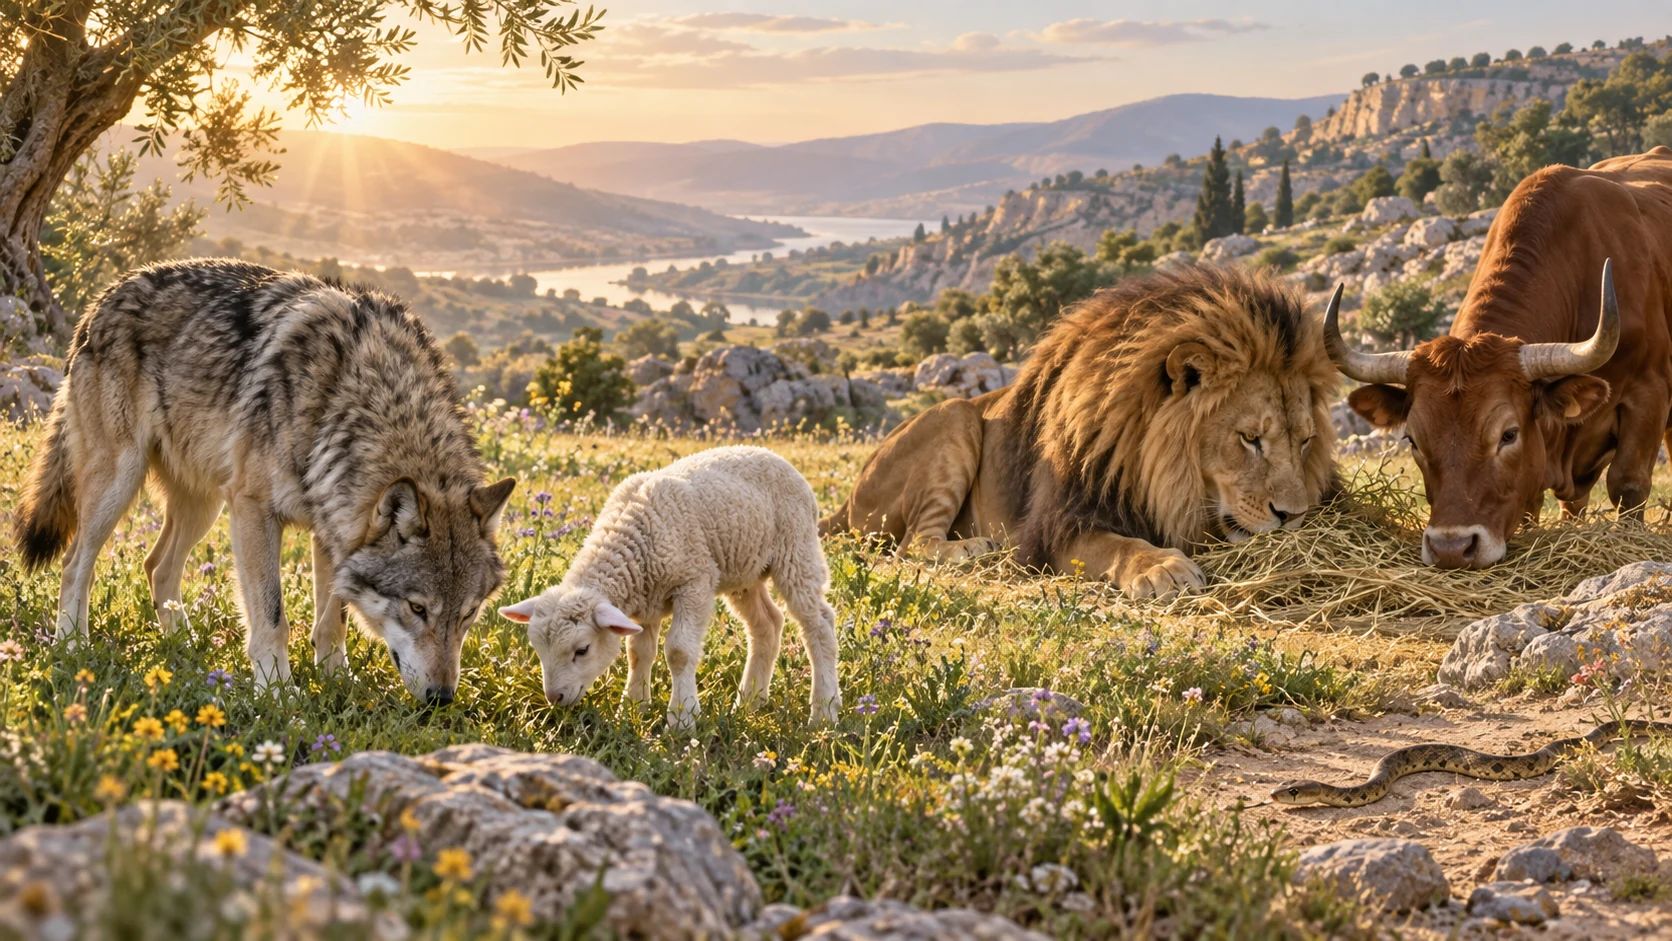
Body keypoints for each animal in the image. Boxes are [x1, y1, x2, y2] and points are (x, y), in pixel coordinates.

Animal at [12, 259, 515, 702]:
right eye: (417, 608)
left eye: (469, 614)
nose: (442, 698)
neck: (355, 397)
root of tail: (103, 298)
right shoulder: (255, 509)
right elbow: (273, 618)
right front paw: (277, 692)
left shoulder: (331, 526)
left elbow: (333, 619)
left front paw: (336, 680)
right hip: (121, 483)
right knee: (75, 563)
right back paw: (73, 646)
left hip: (204, 506)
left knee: (157, 566)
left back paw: (186, 648)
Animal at [499, 446, 841, 730]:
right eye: (538, 649)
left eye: (582, 650)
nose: (554, 698)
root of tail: (775, 455)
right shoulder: (645, 599)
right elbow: (638, 653)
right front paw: (633, 708)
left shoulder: (694, 581)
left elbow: (678, 652)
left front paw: (682, 718)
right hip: (745, 571)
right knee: (767, 624)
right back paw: (749, 702)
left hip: (796, 548)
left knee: (819, 624)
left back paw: (824, 711)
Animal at [821, 265, 1338, 598]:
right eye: (1250, 439)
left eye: (1306, 441)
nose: (1292, 517)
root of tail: (845, 501)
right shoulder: (1062, 523)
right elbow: (1119, 544)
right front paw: (1163, 565)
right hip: (955, 414)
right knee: (912, 544)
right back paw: (971, 548)